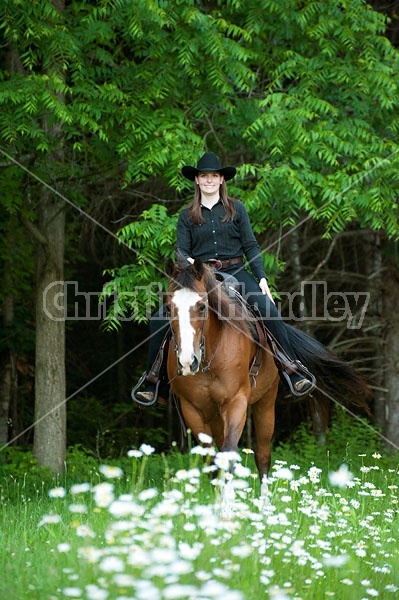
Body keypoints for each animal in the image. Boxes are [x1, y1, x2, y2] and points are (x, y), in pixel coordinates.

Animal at [166, 258, 372, 478]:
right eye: (168, 308)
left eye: (202, 306)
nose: (187, 361)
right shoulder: (192, 410)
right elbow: (213, 462)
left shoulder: (236, 401)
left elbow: (229, 455)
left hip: (265, 403)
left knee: (263, 456)